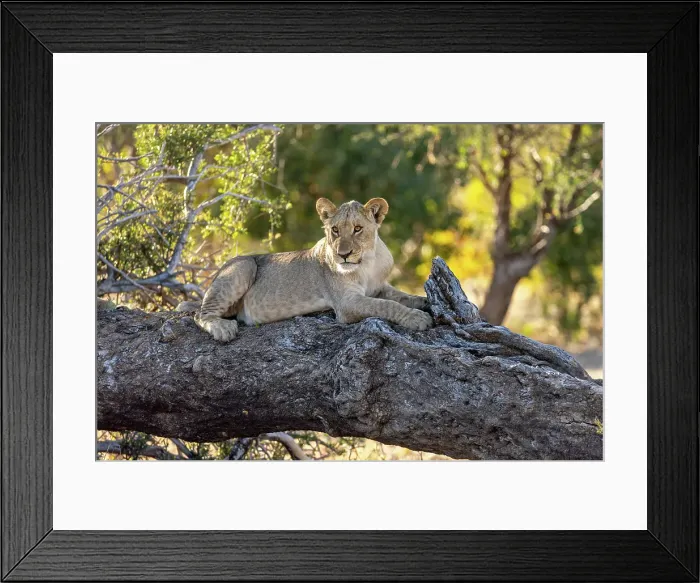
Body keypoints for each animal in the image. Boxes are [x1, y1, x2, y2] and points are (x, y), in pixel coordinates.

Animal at [178, 197, 433, 341]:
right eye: (335, 230)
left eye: (358, 229)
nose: (343, 255)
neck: (367, 263)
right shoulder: (346, 303)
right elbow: (386, 305)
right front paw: (417, 318)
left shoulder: (379, 286)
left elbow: (401, 296)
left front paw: (423, 302)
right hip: (243, 265)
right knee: (200, 314)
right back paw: (223, 329)